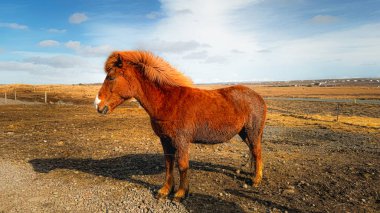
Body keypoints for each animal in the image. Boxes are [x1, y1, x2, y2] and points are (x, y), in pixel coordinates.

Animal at [95, 50, 268, 202]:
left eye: (111, 77)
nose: (98, 105)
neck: (168, 102)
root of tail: (258, 97)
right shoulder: (165, 140)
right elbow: (169, 164)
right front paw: (165, 190)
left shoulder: (181, 141)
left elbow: (182, 165)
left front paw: (180, 193)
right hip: (244, 133)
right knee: (254, 152)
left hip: (252, 132)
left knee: (257, 152)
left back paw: (256, 180)